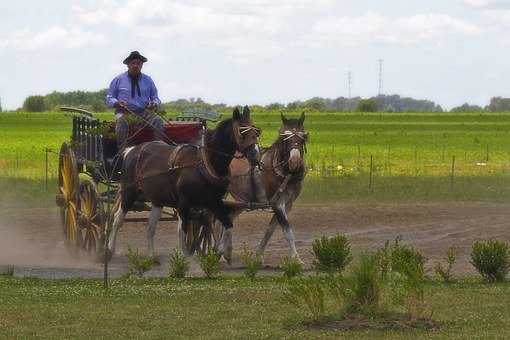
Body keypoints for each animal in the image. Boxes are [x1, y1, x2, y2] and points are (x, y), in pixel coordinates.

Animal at [106, 106, 258, 260]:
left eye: (256, 130)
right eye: (241, 131)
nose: (255, 155)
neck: (204, 164)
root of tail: (130, 150)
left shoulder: (214, 202)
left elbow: (228, 224)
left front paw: (220, 251)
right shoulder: (184, 203)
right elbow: (182, 231)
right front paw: (184, 256)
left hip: (157, 199)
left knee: (150, 227)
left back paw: (152, 256)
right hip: (128, 193)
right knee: (117, 219)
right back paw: (110, 249)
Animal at [229, 111, 308, 262]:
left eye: (304, 137)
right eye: (284, 138)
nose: (294, 162)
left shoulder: (287, 204)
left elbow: (270, 229)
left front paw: (259, 255)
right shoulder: (277, 203)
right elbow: (287, 230)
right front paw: (296, 258)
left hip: (239, 202)